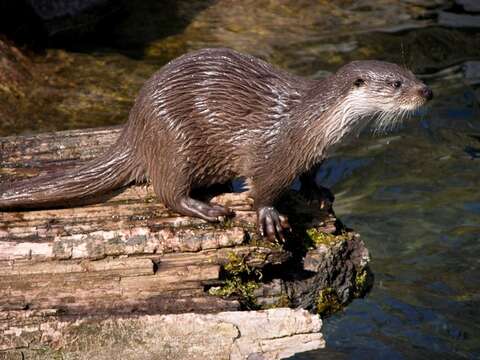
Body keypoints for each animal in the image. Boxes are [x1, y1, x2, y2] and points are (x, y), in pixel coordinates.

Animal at [0, 46, 434, 240]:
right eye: (397, 84)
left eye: (413, 74)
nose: (426, 91)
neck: (313, 122)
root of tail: (135, 129)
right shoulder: (275, 150)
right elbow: (263, 186)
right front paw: (269, 216)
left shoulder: (313, 152)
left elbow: (310, 175)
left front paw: (318, 192)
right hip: (174, 140)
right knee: (167, 192)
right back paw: (208, 209)